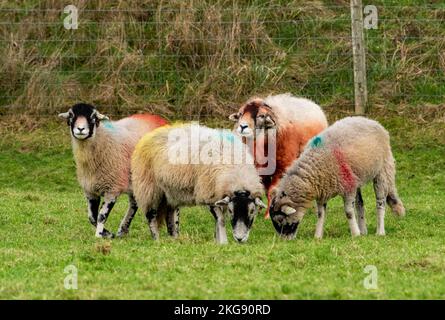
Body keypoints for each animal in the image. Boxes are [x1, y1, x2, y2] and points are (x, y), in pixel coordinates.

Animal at [58, 102, 168, 238]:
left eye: (93, 117)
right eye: (71, 115)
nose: (80, 129)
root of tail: (160, 119)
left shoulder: (112, 188)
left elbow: (101, 216)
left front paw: (99, 235)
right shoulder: (90, 190)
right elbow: (92, 217)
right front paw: (108, 234)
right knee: (134, 204)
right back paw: (122, 230)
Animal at [126, 124, 268, 244]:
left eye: (252, 211)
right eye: (231, 211)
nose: (240, 238)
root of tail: (150, 134)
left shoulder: (218, 194)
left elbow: (217, 221)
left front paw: (217, 241)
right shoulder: (209, 193)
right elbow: (221, 220)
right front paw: (223, 243)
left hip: (170, 193)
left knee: (169, 216)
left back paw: (174, 239)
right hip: (148, 187)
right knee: (151, 215)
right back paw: (157, 240)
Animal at [268, 116, 404, 239]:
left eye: (281, 220)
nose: (284, 240)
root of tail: (373, 121)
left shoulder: (348, 188)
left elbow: (349, 212)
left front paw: (355, 234)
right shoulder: (323, 189)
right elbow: (320, 214)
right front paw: (318, 236)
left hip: (382, 171)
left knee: (380, 202)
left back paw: (380, 232)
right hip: (356, 178)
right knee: (360, 203)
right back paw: (363, 230)